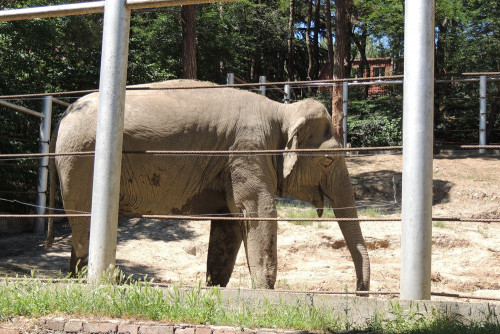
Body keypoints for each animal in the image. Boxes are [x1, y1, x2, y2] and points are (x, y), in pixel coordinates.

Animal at [47, 79, 370, 290]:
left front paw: (214, 288)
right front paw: (264, 292)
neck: (282, 110)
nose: (358, 291)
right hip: (81, 159)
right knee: (85, 224)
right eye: (328, 160)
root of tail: (63, 115)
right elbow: (259, 211)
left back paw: (79, 279)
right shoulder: (248, 151)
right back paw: (97, 282)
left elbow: (230, 222)